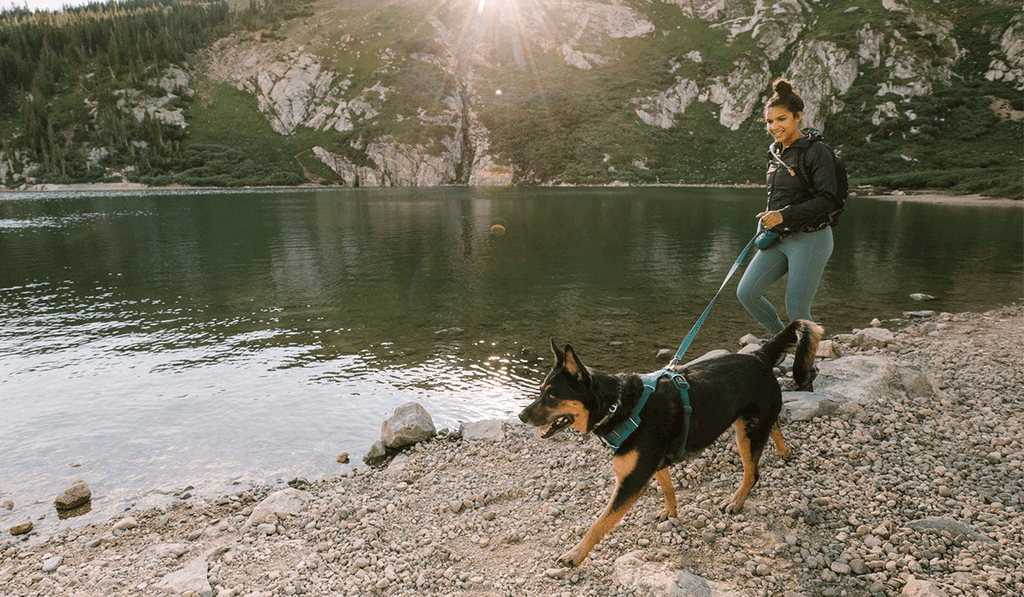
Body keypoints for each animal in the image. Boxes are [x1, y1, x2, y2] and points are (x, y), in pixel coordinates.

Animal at [516, 319, 819, 569]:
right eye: (540, 391)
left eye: (552, 396)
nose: (520, 416)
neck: (616, 405)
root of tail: (760, 355)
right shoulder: (655, 464)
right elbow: (668, 488)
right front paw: (671, 513)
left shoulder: (631, 482)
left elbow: (599, 523)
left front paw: (575, 555)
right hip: (751, 424)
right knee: (775, 425)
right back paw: (784, 452)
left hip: (746, 434)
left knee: (753, 472)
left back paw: (736, 501)